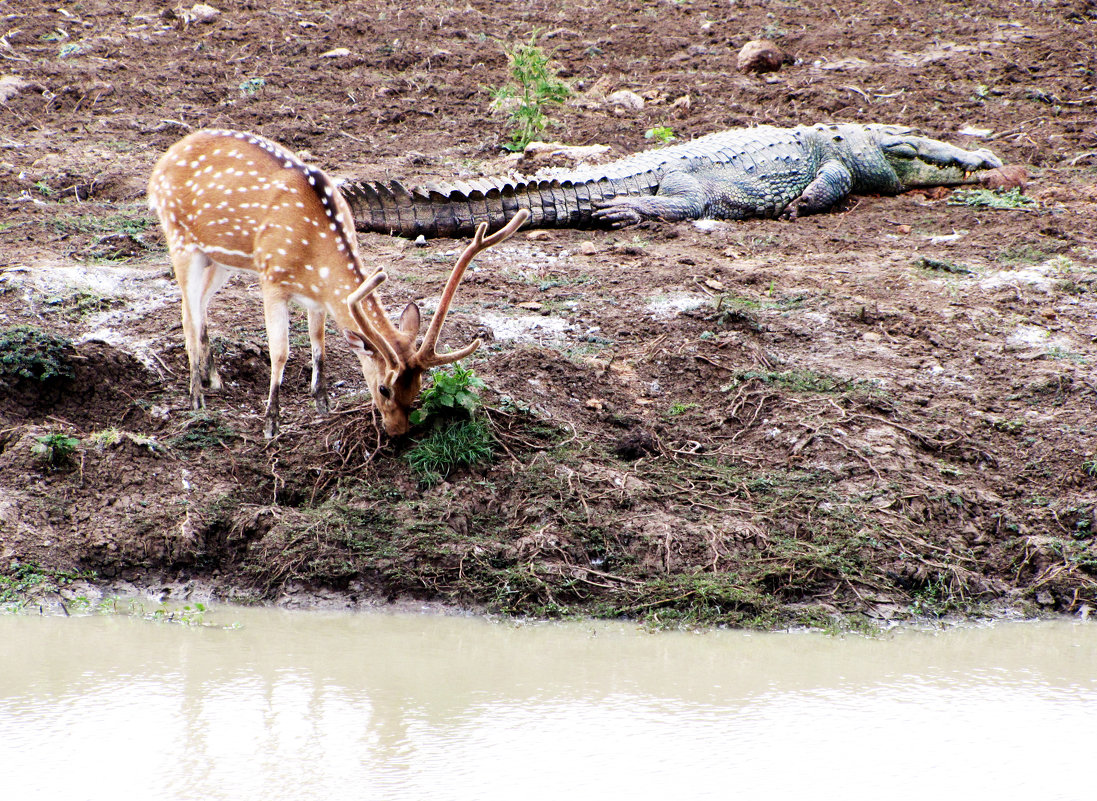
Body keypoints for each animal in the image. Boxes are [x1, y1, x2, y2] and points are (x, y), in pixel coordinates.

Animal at [148, 127, 528, 434]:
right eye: (385, 388)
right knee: (187, 310)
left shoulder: (318, 295)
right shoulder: (272, 278)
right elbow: (281, 352)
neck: (314, 253)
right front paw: (271, 422)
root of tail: (163, 161)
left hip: (220, 257)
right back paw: (196, 396)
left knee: (199, 303)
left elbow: (319, 342)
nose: (398, 432)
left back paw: (213, 378)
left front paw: (322, 403)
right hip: (180, 239)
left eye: (418, 387)